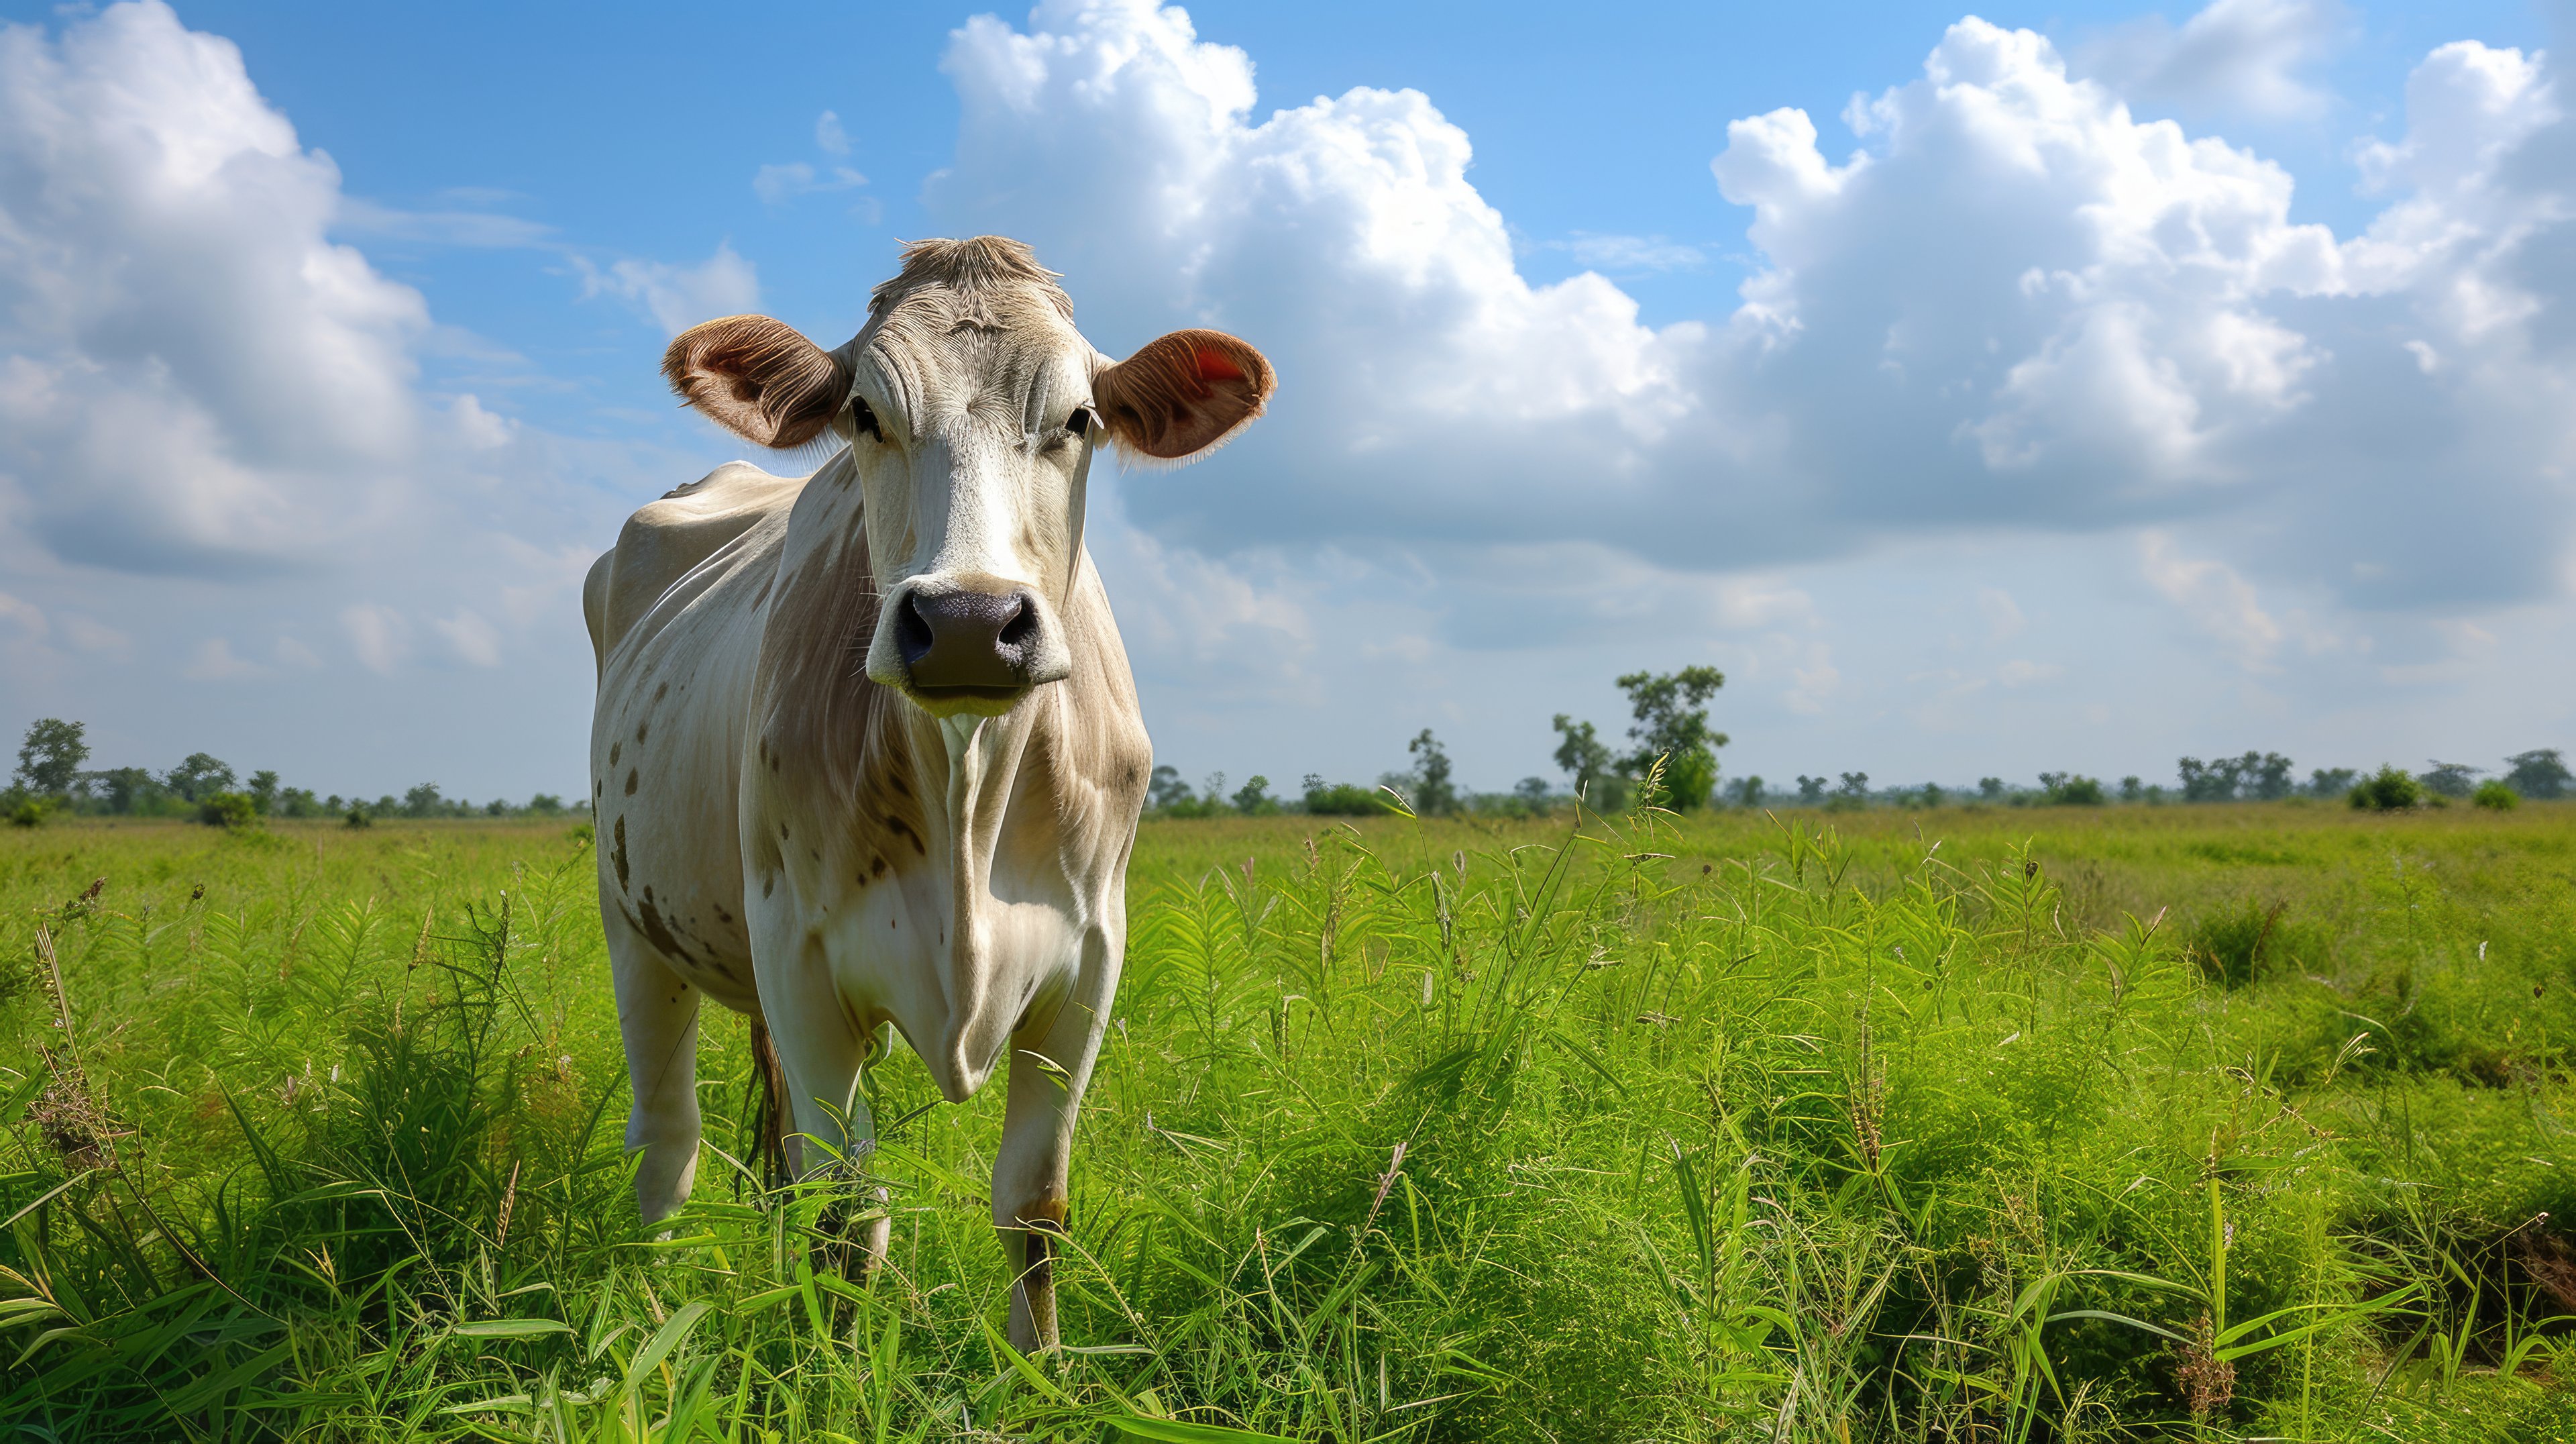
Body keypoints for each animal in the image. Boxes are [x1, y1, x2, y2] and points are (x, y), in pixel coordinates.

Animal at [580, 230, 1272, 1351]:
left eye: (1079, 419)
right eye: (866, 413)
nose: (966, 621)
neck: (968, 794)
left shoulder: (1090, 961)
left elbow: (1033, 1206)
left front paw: (1042, 1369)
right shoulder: (801, 960)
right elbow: (850, 1213)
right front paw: (833, 1368)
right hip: (631, 918)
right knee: (668, 1140)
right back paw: (646, 1311)